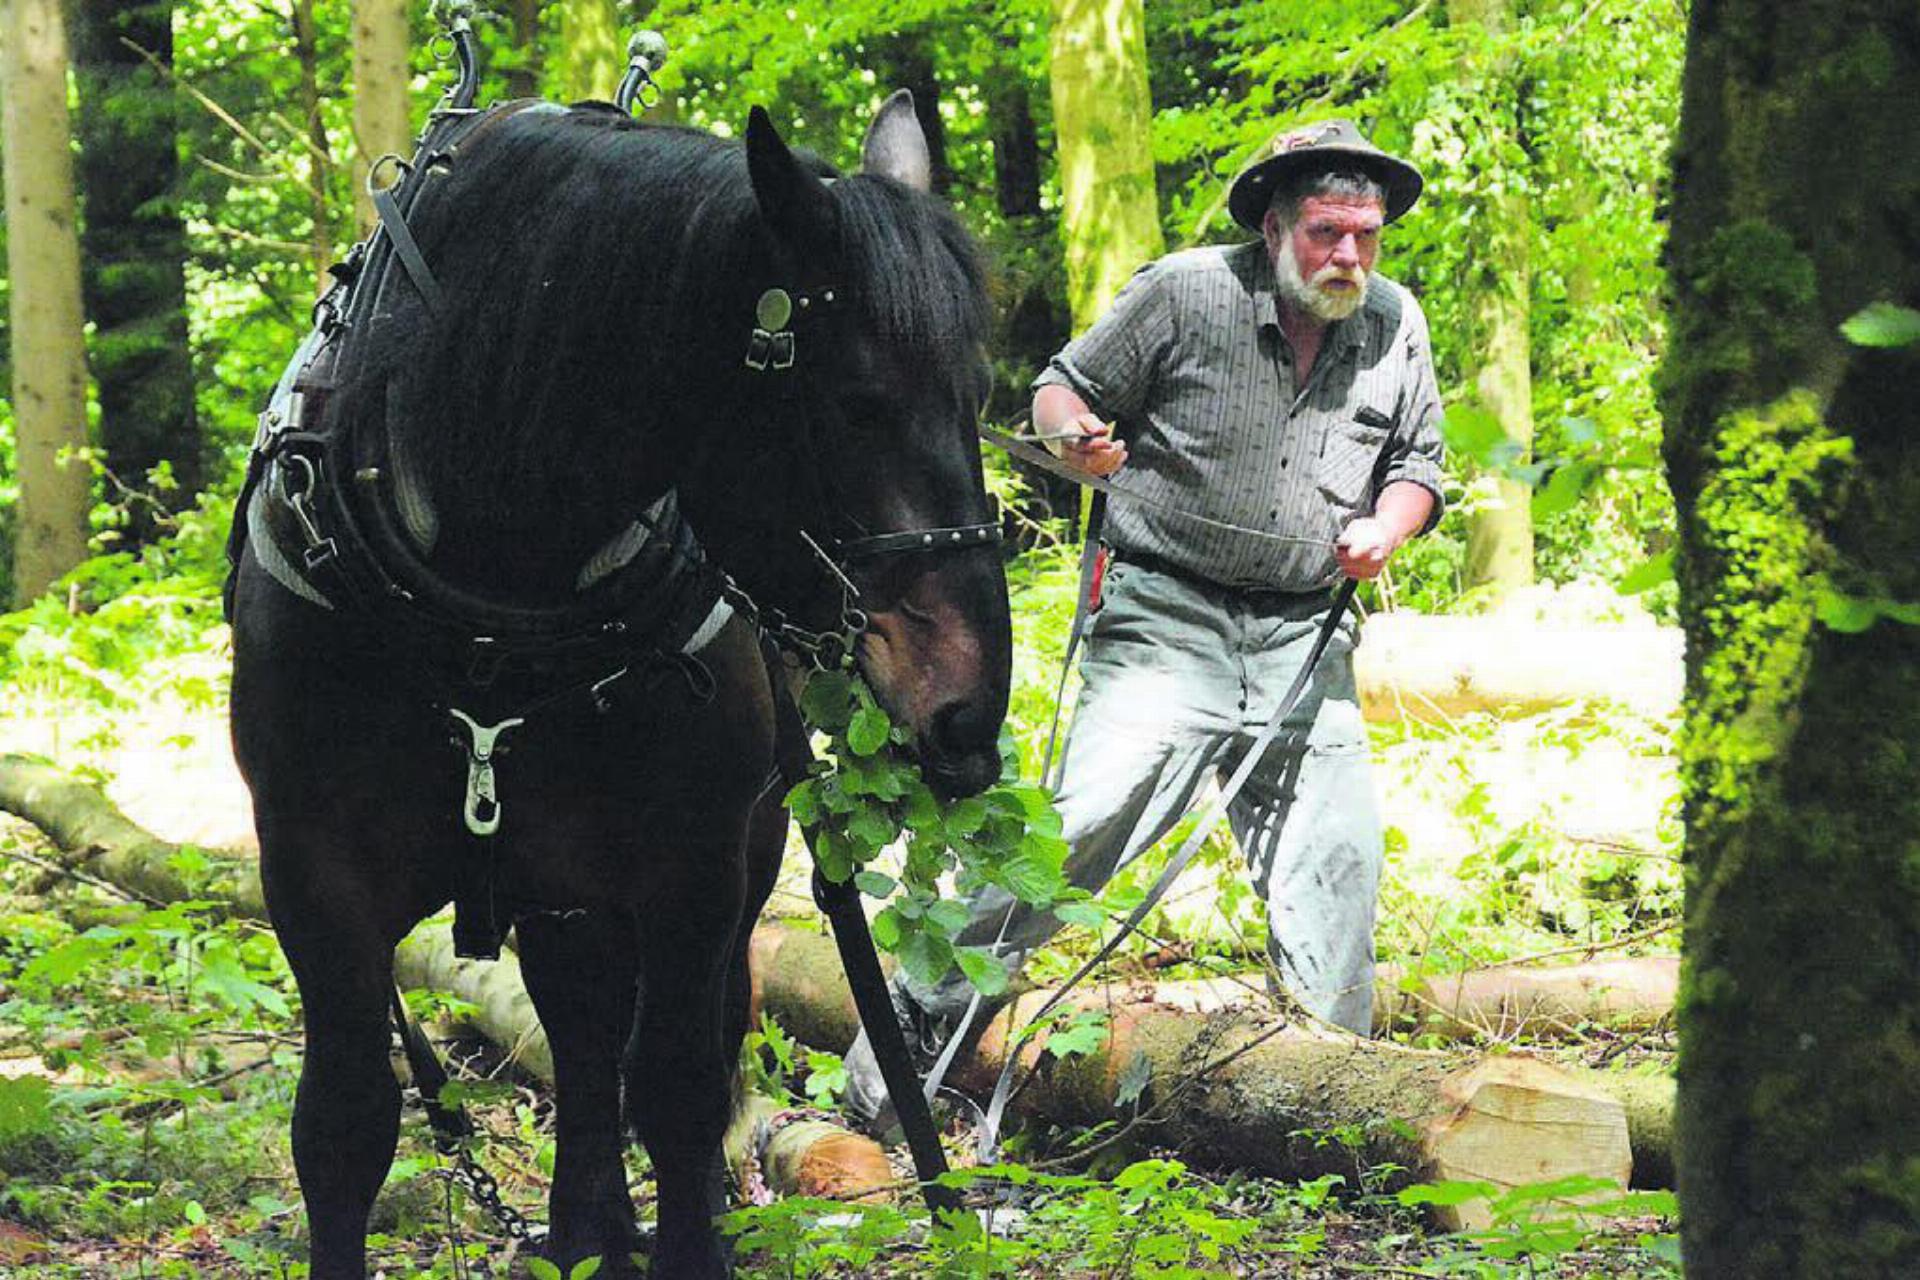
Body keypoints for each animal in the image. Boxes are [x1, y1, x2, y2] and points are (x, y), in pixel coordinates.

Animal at [226, 94, 1013, 1274]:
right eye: (857, 402)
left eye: (977, 395)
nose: (967, 711)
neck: (493, 601)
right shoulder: (313, 870)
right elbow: (346, 1123)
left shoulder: (692, 863)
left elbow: (680, 1091)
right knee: (582, 1032)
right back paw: (582, 1231)